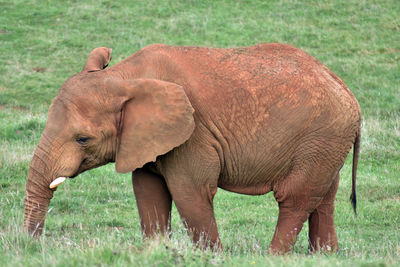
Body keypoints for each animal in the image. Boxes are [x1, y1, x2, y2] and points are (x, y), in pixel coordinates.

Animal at [22, 43, 362, 254]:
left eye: (82, 139)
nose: (35, 246)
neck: (123, 76)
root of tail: (349, 93)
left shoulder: (193, 133)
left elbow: (190, 192)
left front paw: (211, 257)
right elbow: (148, 191)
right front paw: (155, 252)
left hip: (321, 136)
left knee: (295, 198)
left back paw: (273, 256)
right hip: (326, 144)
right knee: (324, 197)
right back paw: (324, 255)